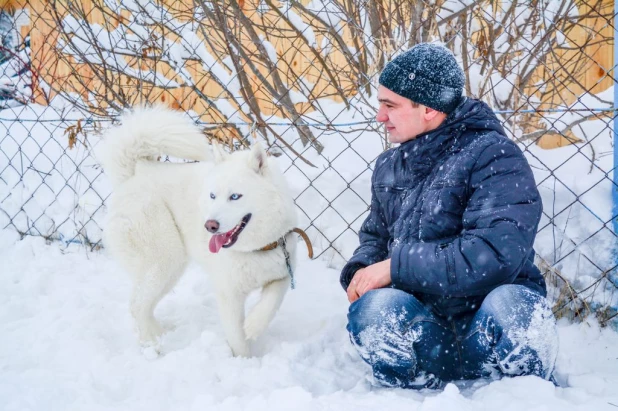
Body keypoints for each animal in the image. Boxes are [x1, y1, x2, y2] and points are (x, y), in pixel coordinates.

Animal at [95, 107, 304, 358]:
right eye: (212, 195)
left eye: (235, 196)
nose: (209, 225)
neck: (255, 249)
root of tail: (134, 173)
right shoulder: (228, 295)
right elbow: (238, 339)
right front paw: (245, 362)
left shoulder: (282, 273)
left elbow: (273, 301)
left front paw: (254, 324)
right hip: (164, 260)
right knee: (137, 305)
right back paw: (153, 345)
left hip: (171, 268)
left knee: (143, 305)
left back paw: (160, 334)